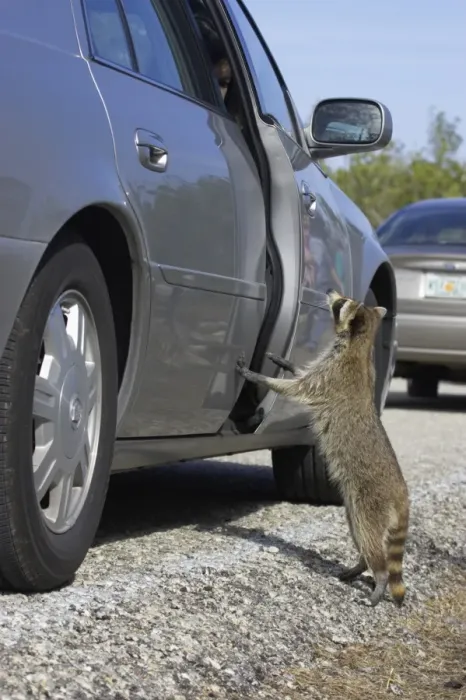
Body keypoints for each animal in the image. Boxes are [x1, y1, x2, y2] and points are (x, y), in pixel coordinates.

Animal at [236, 290, 409, 607]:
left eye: (342, 303)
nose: (330, 292)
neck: (360, 342)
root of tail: (402, 494)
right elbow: (301, 374)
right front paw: (286, 362)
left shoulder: (332, 375)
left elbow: (295, 388)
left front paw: (257, 376)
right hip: (358, 508)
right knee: (361, 536)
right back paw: (361, 565)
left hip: (370, 503)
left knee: (368, 537)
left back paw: (378, 575)